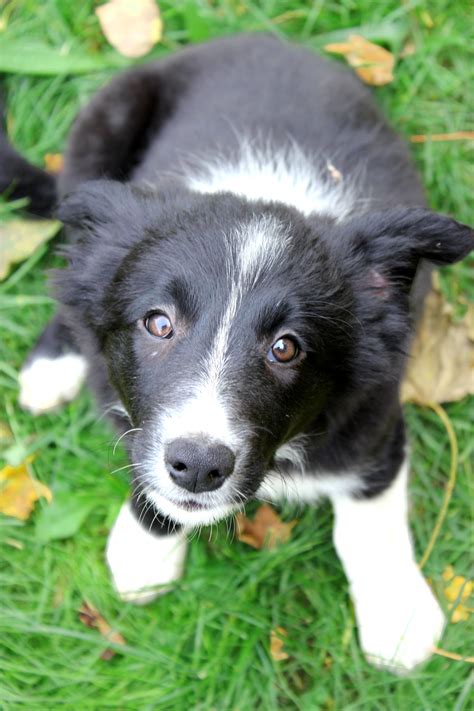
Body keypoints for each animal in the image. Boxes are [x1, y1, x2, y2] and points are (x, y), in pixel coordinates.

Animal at [4, 34, 474, 680]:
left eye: (286, 347)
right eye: (158, 323)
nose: (200, 467)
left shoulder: (373, 413)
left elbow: (371, 511)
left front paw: (396, 613)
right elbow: (143, 459)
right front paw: (145, 549)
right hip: (102, 125)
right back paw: (53, 363)